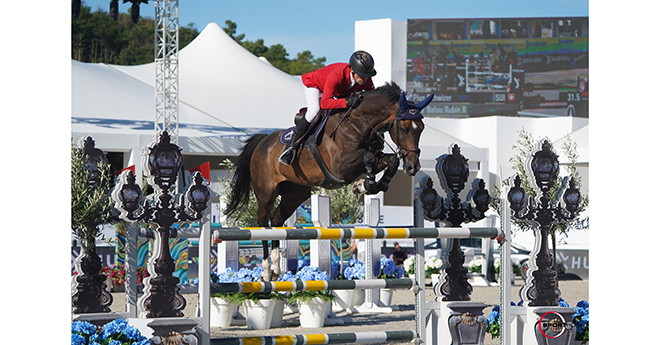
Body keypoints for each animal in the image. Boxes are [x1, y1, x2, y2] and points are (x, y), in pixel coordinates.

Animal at [224, 82, 436, 280]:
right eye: (404, 128)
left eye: (421, 128)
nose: (413, 167)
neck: (359, 124)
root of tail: (263, 142)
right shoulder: (340, 166)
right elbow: (369, 157)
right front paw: (366, 184)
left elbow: (389, 160)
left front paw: (368, 185)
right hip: (266, 193)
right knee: (263, 222)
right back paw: (267, 271)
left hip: (295, 193)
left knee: (276, 219)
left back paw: (276, 268)